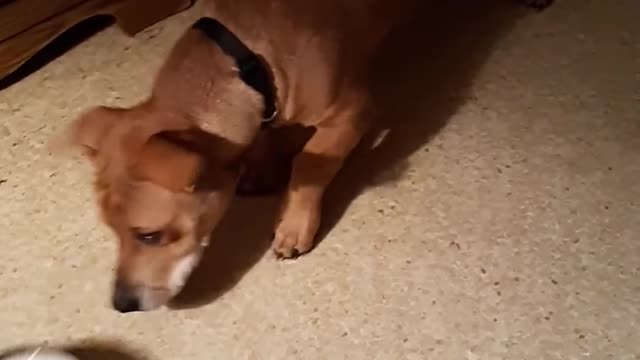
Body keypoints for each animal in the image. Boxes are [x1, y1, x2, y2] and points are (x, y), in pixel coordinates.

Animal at [66, 0, 556, 312]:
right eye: (112, 232)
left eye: (149, 235)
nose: (121, 305)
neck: (247, 60)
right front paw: (261, 168)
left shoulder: (352, 111)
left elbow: (310, 163)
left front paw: (293, 223)